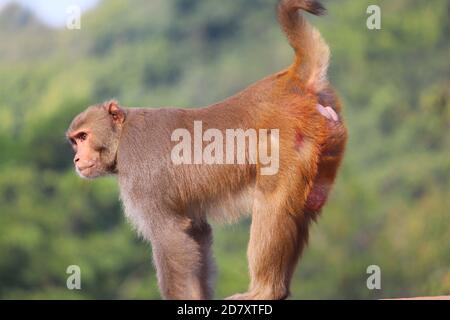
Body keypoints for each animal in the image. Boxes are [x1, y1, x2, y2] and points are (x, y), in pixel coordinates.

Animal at [66, 0, 348, 300]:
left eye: (83, 136)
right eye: (74, 140)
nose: (76, 158)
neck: (121, 138)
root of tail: (291, 81)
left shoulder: (142, 180)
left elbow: (170, 236)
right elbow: (197, 232)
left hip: (288, 145)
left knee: (272, 203)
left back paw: (265, 291)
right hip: (326, 144)